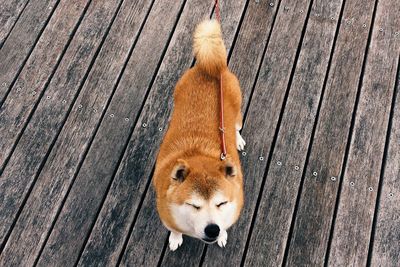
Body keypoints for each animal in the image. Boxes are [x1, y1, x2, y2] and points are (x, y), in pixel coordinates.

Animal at [153, 19, 245, 251]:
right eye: (194, 206)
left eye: (221, 203)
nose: (213, 229)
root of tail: (210, 68)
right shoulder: (167, 216)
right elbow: (175, 229)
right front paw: (176, 238)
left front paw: (222, 235)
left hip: (238, 112)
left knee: (237, 126)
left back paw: (238, 139)